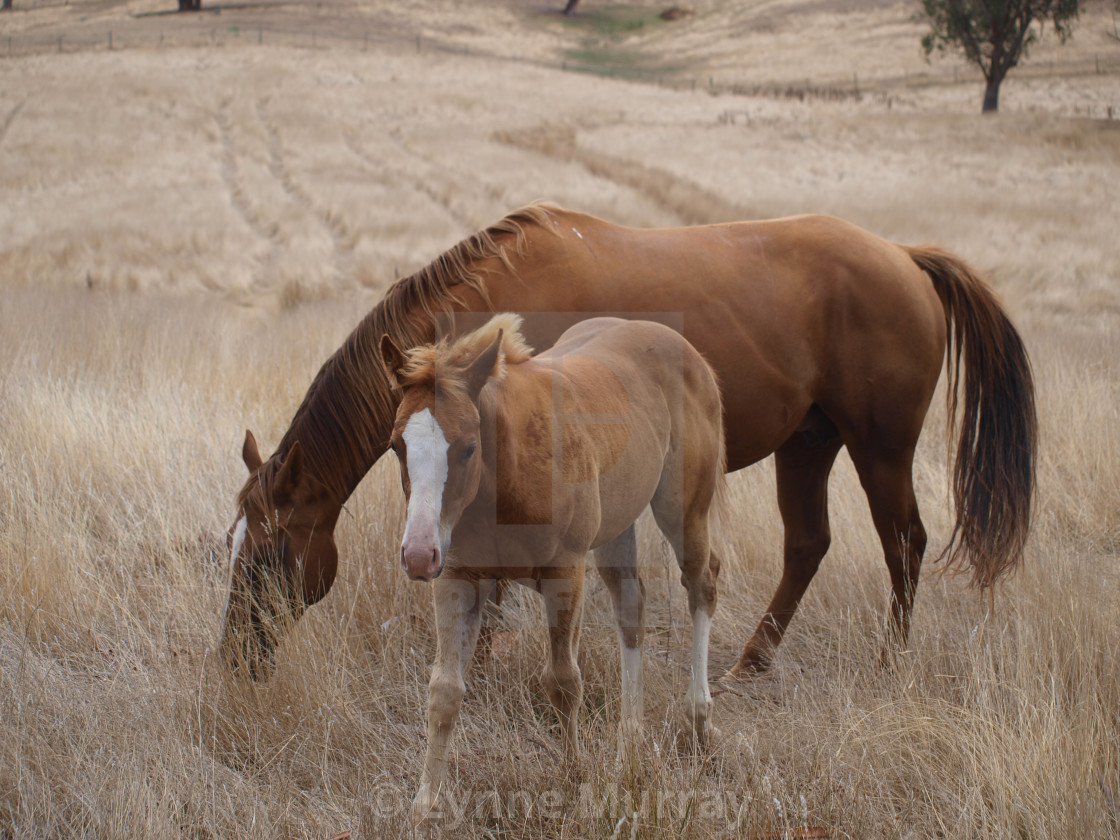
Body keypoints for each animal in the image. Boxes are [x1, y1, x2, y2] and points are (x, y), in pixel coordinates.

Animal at [378, 315, 725, 824]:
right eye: (396, 446)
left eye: (468, 447)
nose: (418, 556)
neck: (503, 479)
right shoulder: (458, 578)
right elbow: (444, 690)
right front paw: (426, 803)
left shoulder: (565, 574)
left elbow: (563, 682)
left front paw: (576, 780)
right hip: (616, 528)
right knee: (631, 607)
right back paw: (630, 744)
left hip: (684, 508)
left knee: (701, 583)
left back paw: (698, 720)